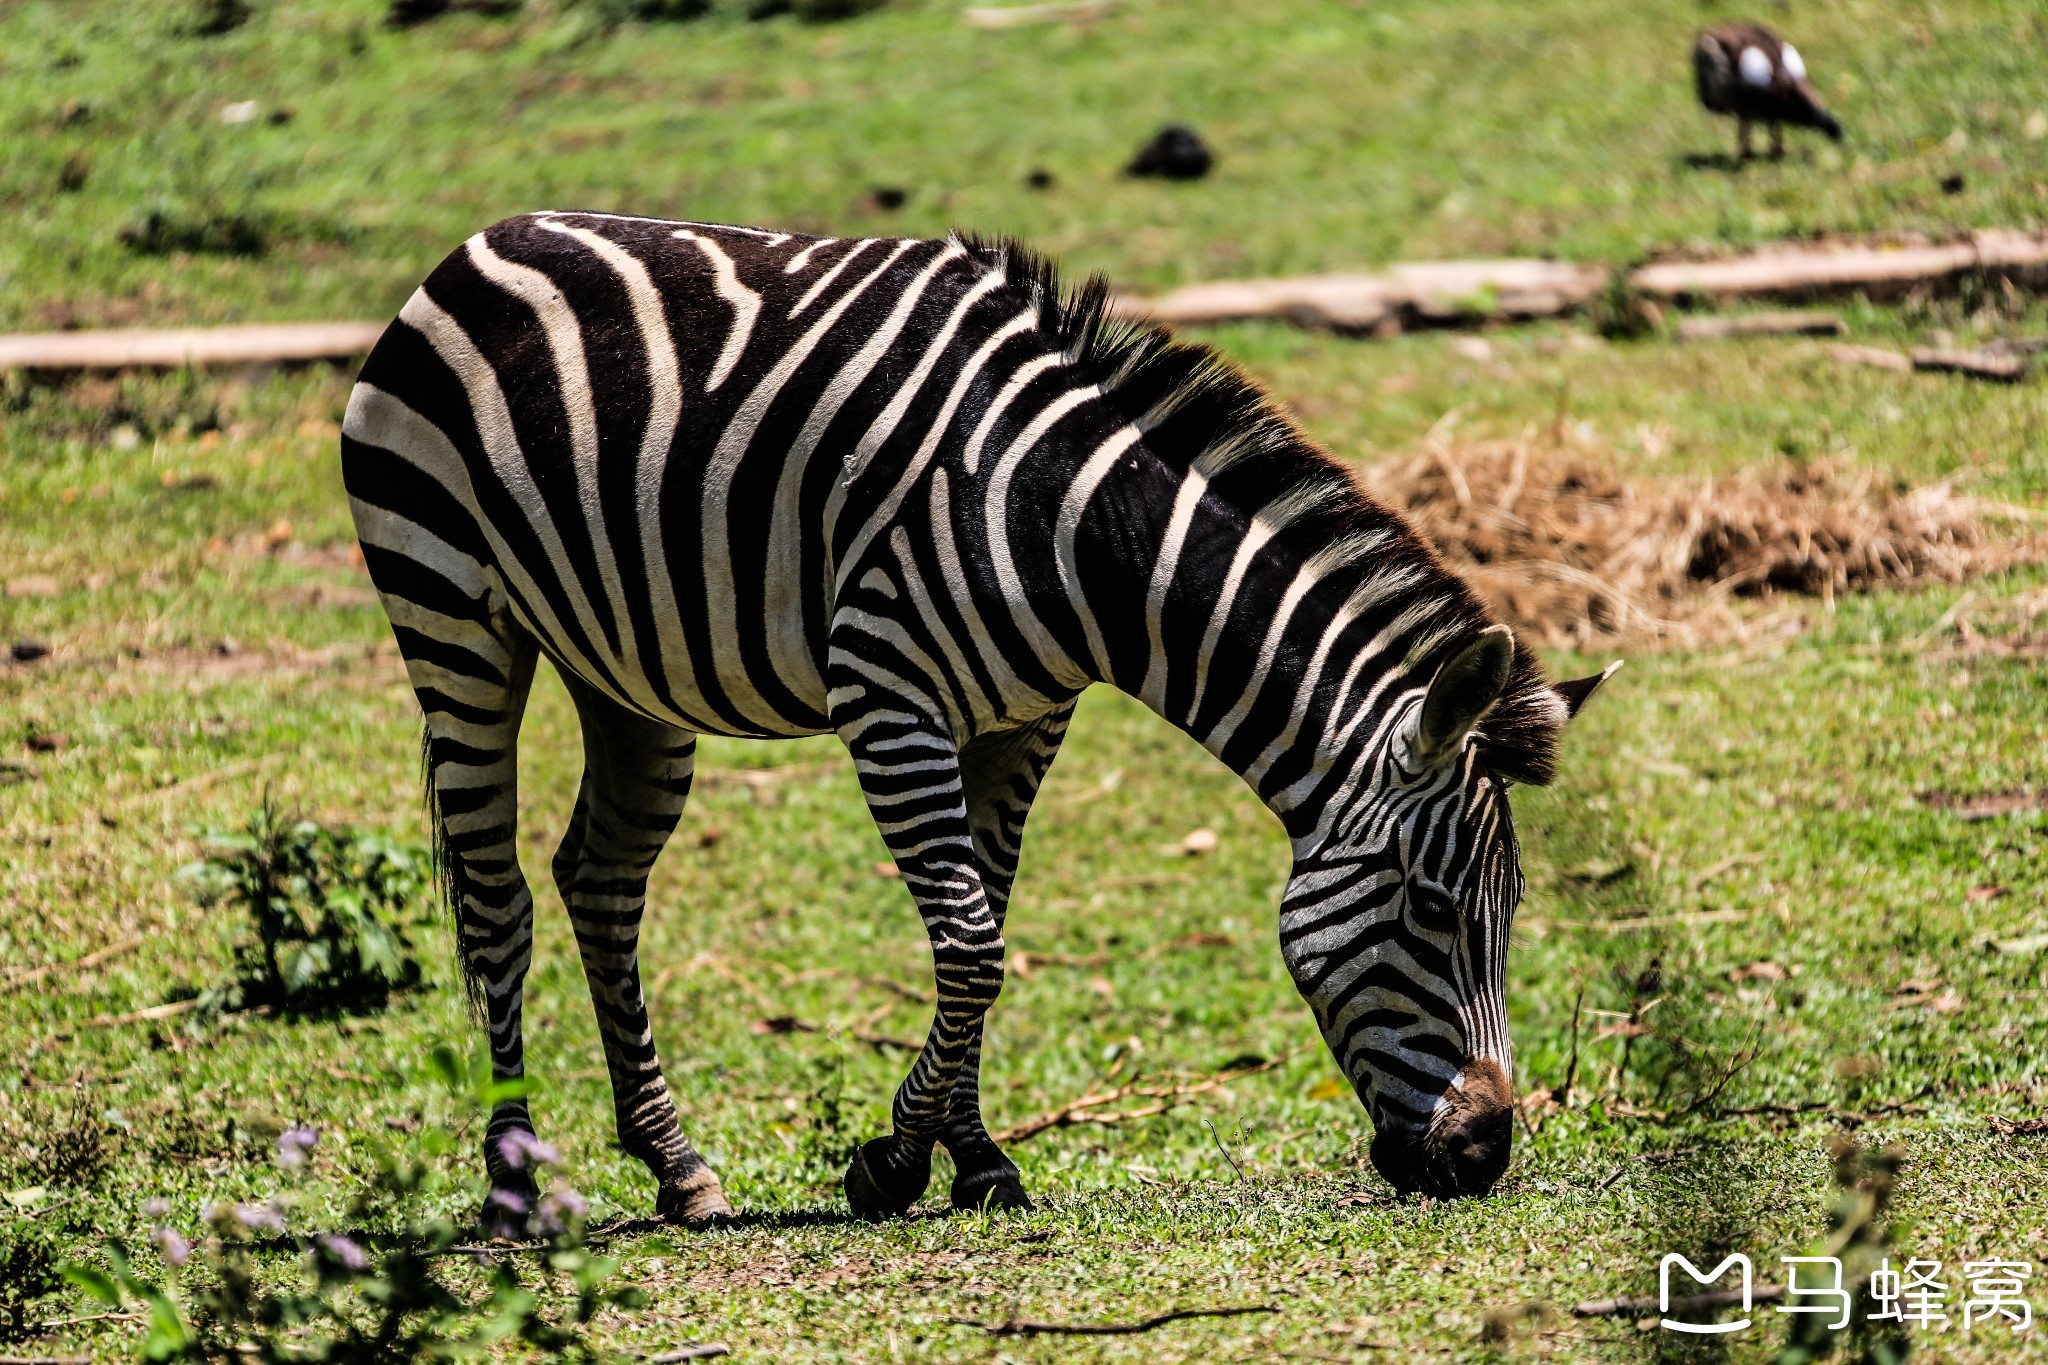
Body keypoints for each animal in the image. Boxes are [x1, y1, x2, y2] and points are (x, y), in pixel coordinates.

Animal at [335, 213, 1613, 1219]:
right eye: (1436, 910)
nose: (1483, 1156)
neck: (1078, 535)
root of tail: (483, 240)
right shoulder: (885, 690)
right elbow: (966, 941)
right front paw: (894, 1164)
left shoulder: (1028, 720)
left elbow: (986, 926)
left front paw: (976, 1155)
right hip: (449, 606)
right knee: (494, 897)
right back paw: (511, 1182)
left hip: (623, 666)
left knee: (599, 883)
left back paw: (674, 1166)